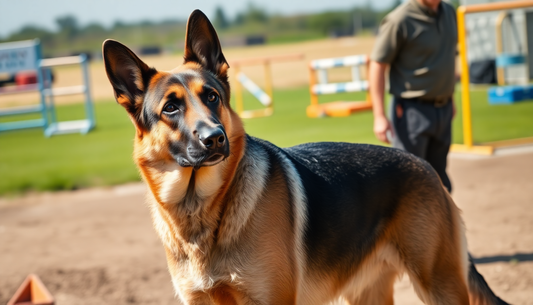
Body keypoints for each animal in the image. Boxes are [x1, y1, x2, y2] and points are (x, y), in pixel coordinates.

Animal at [103, 9, 508, 304]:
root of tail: (425, 166)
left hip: (439, 284)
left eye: (212, 97)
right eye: (170, 108)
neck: (202, 212)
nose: (215, 138)